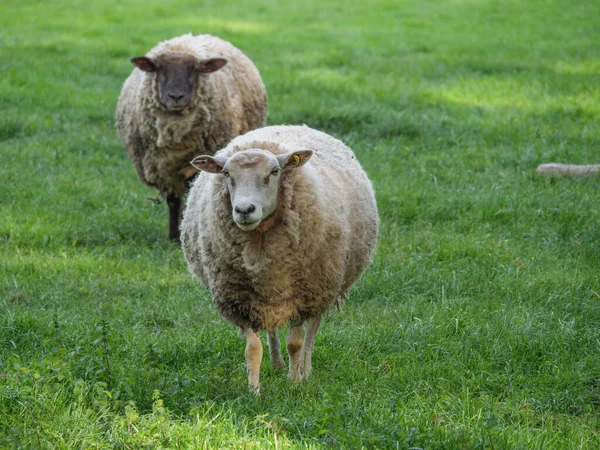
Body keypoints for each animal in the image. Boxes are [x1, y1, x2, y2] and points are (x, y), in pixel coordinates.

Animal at [180, 125, 380, 392]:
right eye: (226, 173)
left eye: (274, 172)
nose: (244, 210)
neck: (260, 241)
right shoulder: (241, 299)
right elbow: (252, 349)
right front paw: (254, 390)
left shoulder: (305, 295)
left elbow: (295, 343)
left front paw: (294, 382)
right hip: (269, 296)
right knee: (273, 330)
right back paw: (277, 363)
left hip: (324, 284)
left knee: (311, 331)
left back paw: (305, 369)